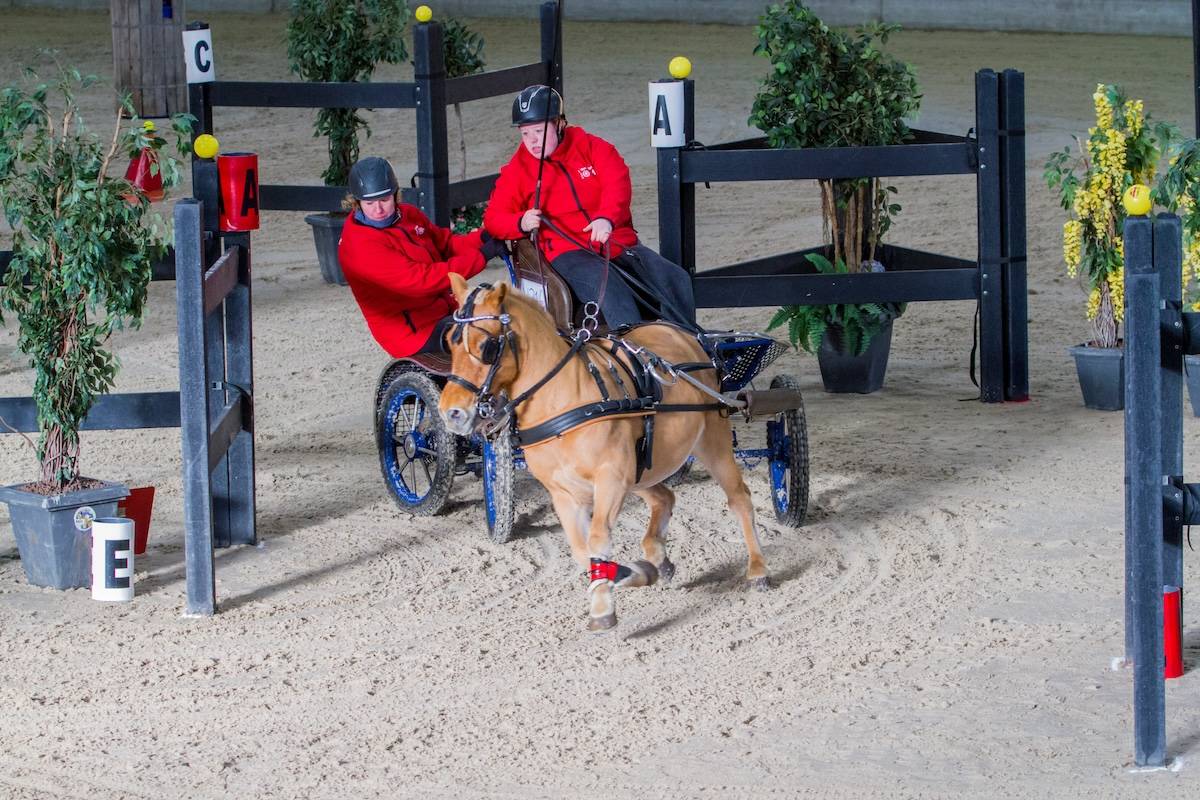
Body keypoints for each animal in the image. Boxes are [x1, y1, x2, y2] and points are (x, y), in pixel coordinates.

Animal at [439, 275, 768, 633]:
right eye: (449, 343)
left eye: (486, 346)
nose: (450, 412)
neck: (563, 402)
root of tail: (680, 331)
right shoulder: (564, 493)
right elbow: (581, 550)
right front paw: (632, 575)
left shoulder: (611, 477)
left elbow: (597, 539)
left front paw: (603, 608)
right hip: (642, 470)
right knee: (664, 497)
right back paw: (658, 558)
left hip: (711, 438)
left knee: (738, 497)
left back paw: (757, 569)